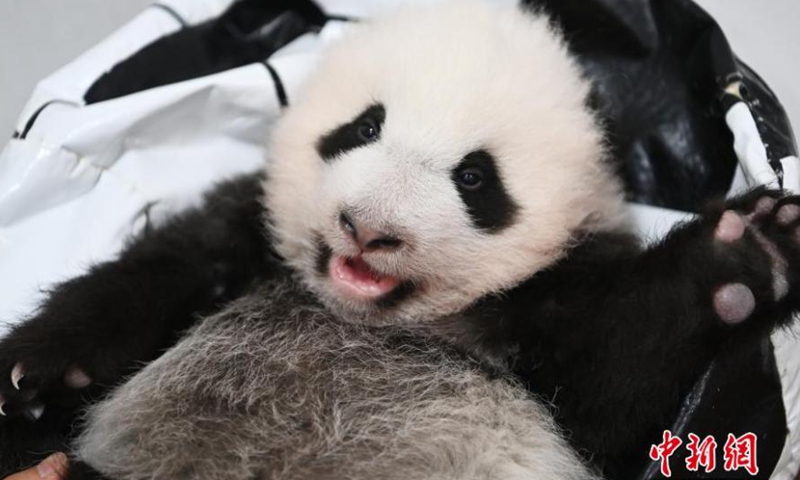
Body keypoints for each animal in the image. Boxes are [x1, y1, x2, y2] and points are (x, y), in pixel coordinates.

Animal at [1, 1, 799, 479]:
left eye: (474, 178)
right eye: (363, 127)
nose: (366, 228)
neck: (356, 315)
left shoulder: (550, 302)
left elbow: (610, 376)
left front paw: (747, 249)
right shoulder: (250, 234)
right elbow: (161, 269)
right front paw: (34, 370)